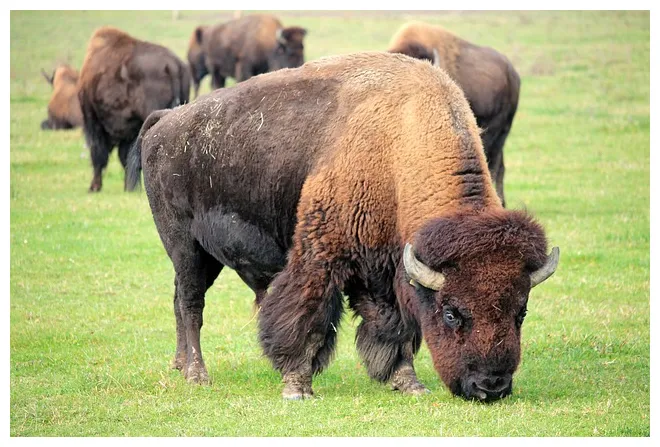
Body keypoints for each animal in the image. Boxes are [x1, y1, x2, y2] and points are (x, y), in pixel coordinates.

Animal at [126, 52, 559, 402]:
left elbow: (393, 326)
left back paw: (180, 365)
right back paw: (197, 374)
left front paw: (407, 382)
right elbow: (308, 314)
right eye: (451, 313)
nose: (491, 387)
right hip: (185, 246)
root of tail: (165, 120)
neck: (398, 143)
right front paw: (297, 387)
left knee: (178, 300)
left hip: (204, 257)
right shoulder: (322, 253)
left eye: (521, 312)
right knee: (191, 304)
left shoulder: (385, 267)